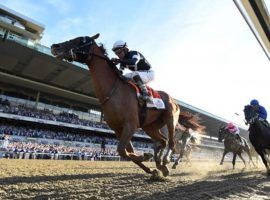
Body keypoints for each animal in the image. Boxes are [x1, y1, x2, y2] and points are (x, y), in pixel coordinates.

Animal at [50, 33, 202, 177]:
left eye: (80, 40)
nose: (55, 46)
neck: (113, 91)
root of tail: (174, 100)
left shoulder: (130, 125)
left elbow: (122, 150)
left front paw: (146, 157)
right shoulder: (118, 129)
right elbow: (126, 152)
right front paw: (149, 167)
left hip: (170, 120)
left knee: (172, 143)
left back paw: (166, 161)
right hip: (150, 127)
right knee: (163, 142)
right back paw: (161, 165)